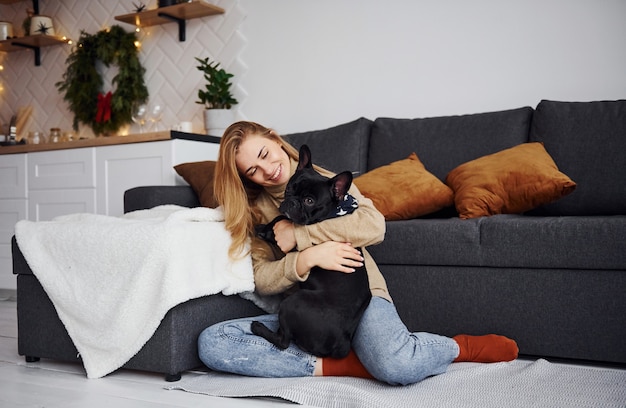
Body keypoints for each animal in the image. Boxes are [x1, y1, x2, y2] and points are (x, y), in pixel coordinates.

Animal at [251, 145, 370, 358]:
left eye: (308, 201)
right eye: (289, 189)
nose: (291, 202)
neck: (332, 213)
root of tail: (341, 342)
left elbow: (281, 221)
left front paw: (263, 230)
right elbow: (280, 218)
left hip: (293, 302)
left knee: (283, 342)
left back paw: (258, 328)